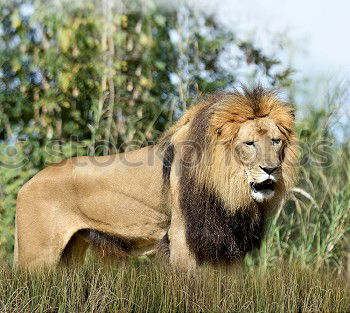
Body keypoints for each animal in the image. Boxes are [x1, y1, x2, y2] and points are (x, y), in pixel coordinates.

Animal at [14, 85, 298, 268]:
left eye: (275, 141)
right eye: (249, 143)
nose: (271, 168)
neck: (228, 188)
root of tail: (26, 185)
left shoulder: (227, 245)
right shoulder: (182, 239)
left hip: (70, 255)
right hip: (36, 256)